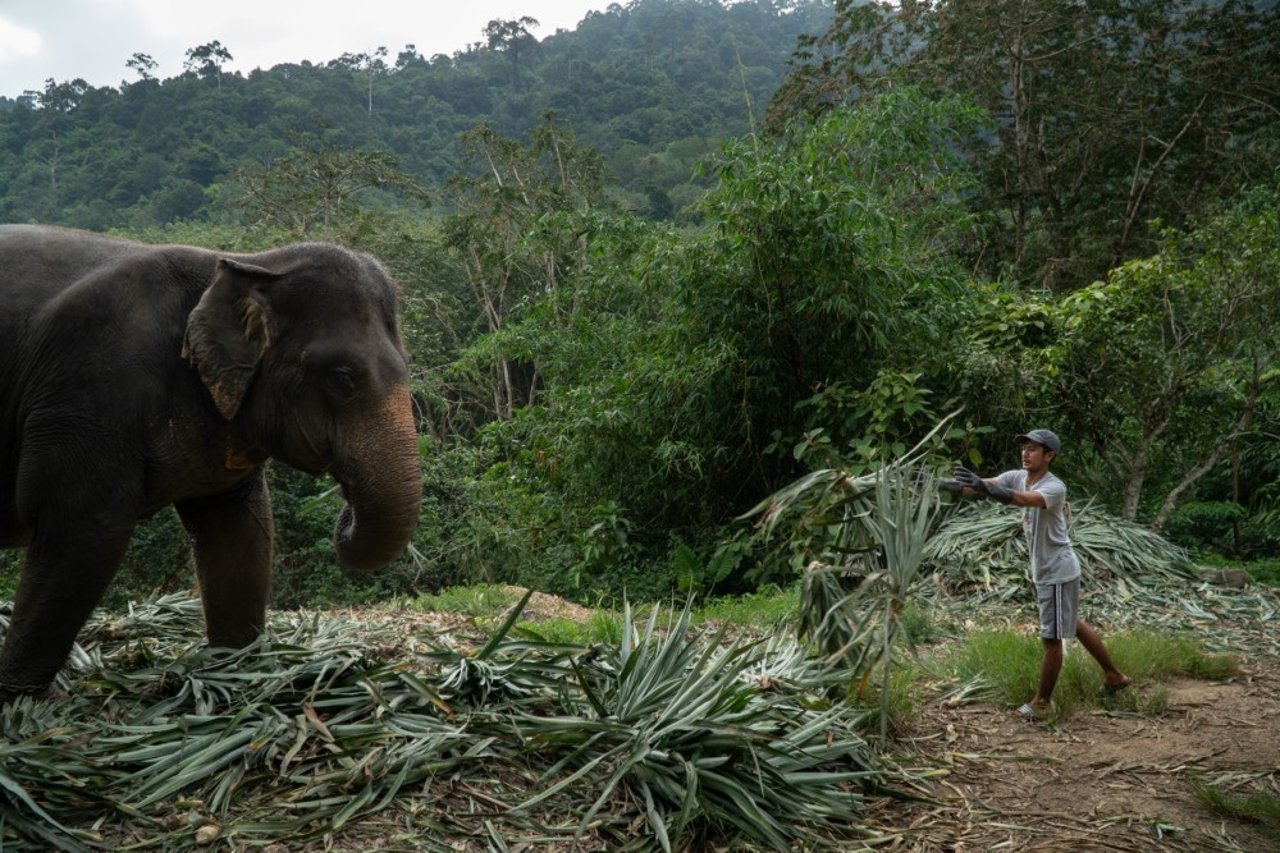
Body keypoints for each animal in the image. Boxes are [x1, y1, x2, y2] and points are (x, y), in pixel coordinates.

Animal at [0, 225, 422, 696]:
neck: (248, 262)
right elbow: (81, 530)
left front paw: (234, 669)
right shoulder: (91, 390)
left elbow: (238, 527)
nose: (343, 514)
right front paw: (22, 699)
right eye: (343, 378)